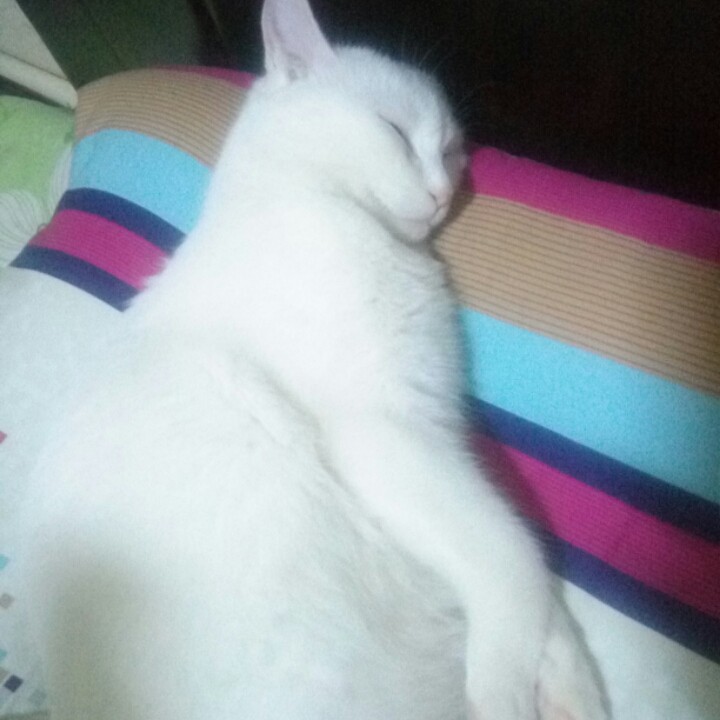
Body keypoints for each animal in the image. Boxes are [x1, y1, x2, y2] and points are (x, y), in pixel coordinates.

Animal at [23, 0, 609, 718]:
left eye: (450, 150)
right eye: (395, 131)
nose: (444, 192)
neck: (307, 202)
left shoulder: (438, 437)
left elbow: (522, 566)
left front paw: (572, 686)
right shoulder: (385, 430)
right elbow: (510, 556)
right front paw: (506, 686)